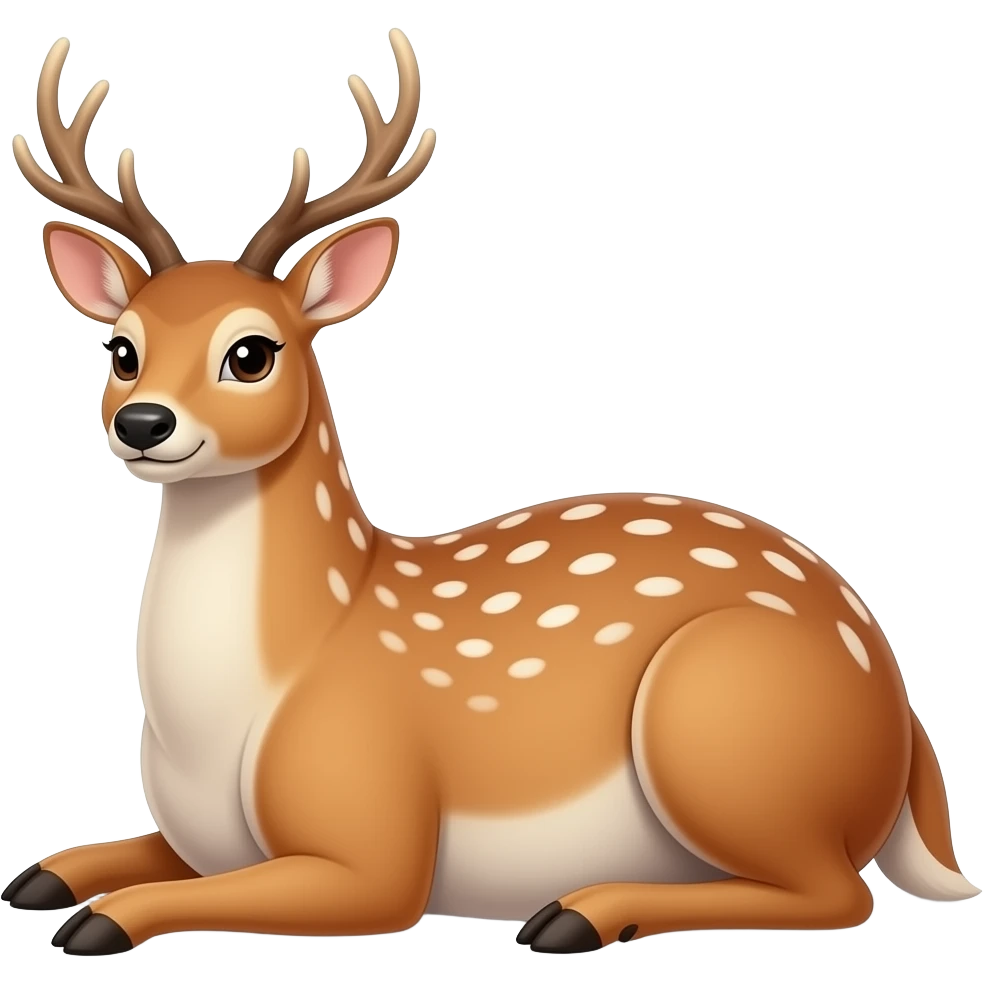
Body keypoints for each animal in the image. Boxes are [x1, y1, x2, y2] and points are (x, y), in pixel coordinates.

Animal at [4, 29, 978, 958]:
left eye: (251, 352)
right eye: (121, 350)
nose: (143, 424)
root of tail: (900, 713)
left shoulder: (374, 841)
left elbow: (213, 893)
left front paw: (98, 921)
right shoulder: (196, 839)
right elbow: (115, 857)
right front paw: (41, 877)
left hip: (719, 714)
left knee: (838, 895)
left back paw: (579, 913)